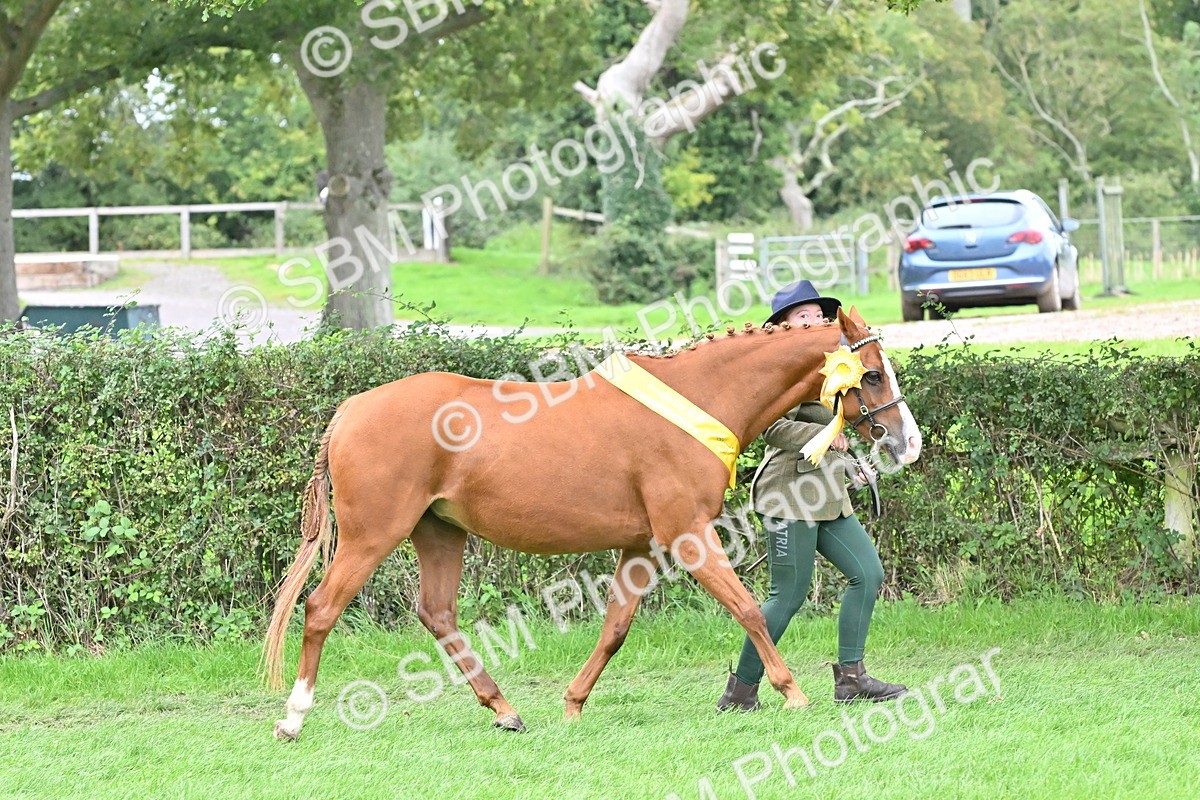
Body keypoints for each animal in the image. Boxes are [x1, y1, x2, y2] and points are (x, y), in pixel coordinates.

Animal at [263, 307, 921, 741]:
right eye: (871, 375)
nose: (906, 442)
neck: (698, 399)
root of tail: (351, 410)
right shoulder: (687, 534)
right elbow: (750, 609)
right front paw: (794, 695)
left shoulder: (640, 546)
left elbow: (614, 629)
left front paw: (573, 705)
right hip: (373, 535)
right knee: (320, 608)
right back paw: (293, 717)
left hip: (439, 532)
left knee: (438, 614)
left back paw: (505, 710)